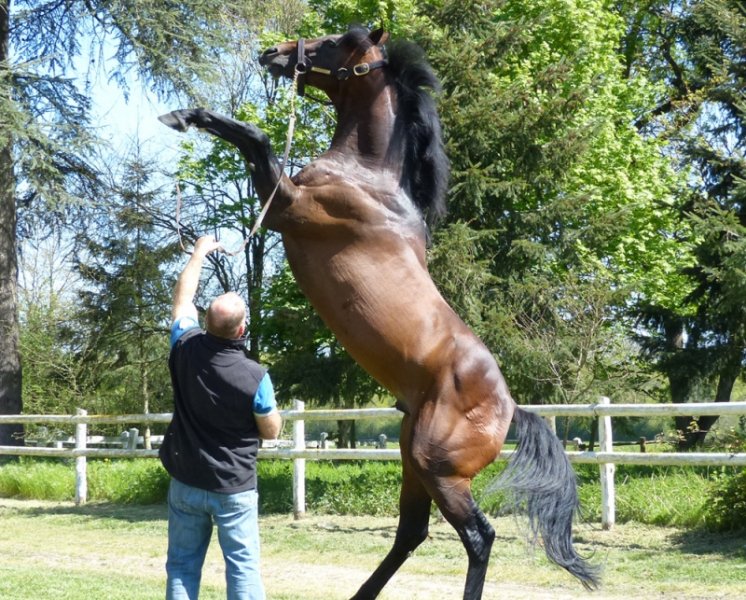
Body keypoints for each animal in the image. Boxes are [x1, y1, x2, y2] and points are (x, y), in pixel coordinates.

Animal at [159, 25, 599, 600]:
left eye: (335, 42)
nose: (275, 53)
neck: (366, 179)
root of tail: (511, 409)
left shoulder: (286, 205)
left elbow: (255, 137)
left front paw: (182, 116)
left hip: (440, 471)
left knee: (478, 537)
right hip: (414, 466)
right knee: (410, 534)